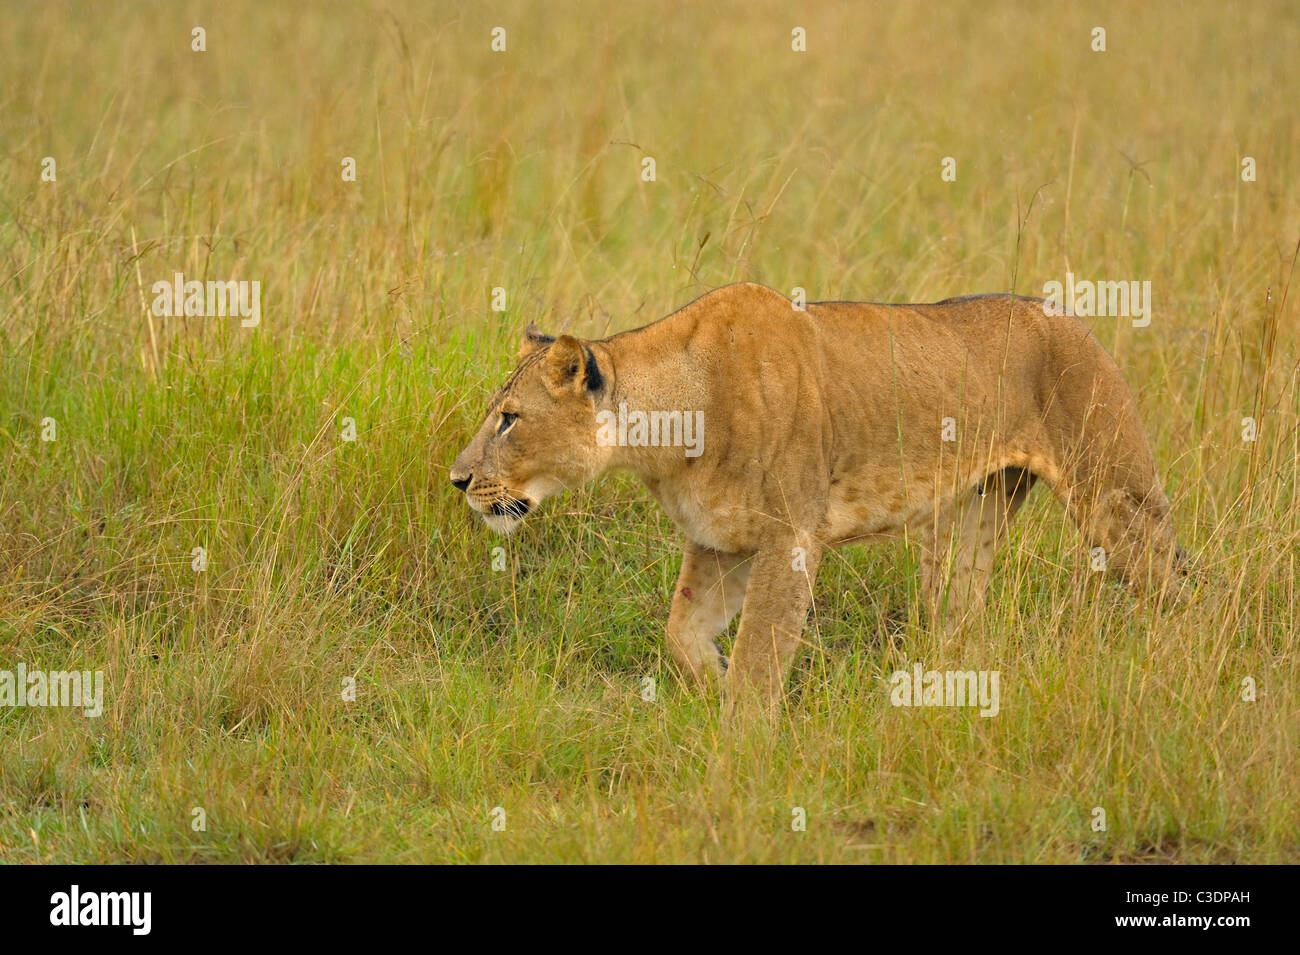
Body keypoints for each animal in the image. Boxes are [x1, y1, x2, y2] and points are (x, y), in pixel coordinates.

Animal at [450, 283, 1189, 709]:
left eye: (509, 418)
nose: (458, 480)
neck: (667, 426)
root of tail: (1063, 312)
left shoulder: (792, 534)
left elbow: (758, 658)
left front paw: (739, 749)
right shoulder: (719, 539)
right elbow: (682, 633)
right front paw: (712, 685)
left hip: (1115, 497)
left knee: (1179, 592)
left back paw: (1179, 671)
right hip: (968, 520)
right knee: (960, 618)